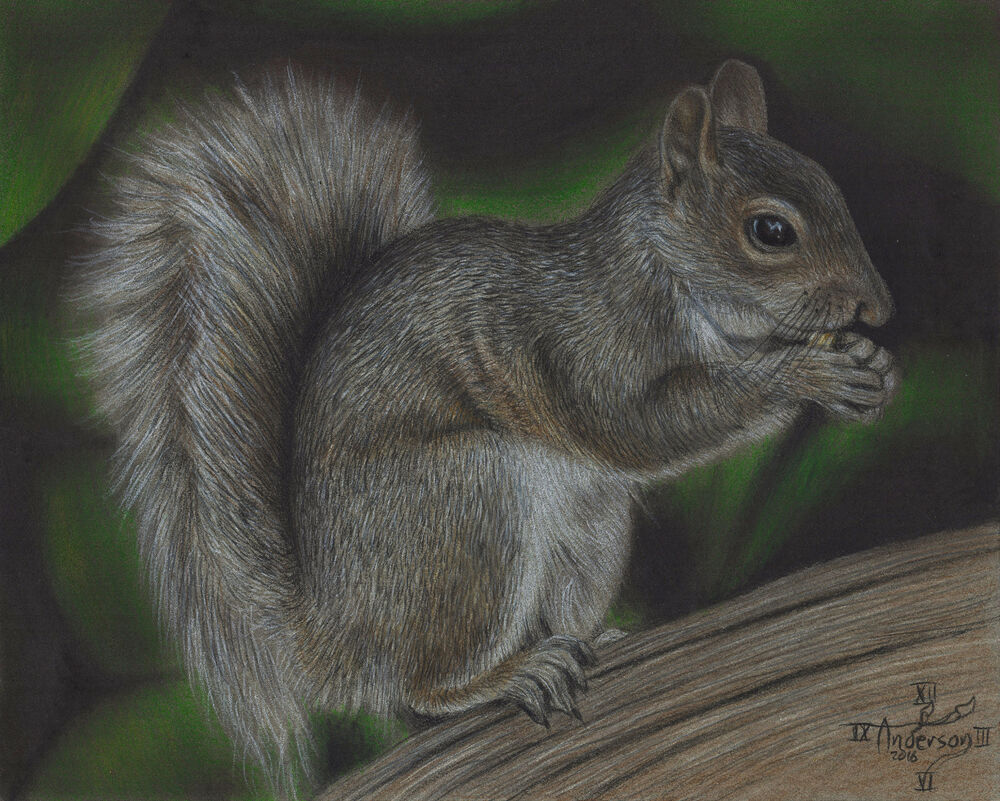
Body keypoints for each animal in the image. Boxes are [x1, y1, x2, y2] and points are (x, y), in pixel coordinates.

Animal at [72, 60, 898, 790]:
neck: (668, 277)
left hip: (590, 525)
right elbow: (646, 424)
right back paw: (511, 672)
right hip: (465, 501)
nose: (879, 305)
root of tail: (337, 636)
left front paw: (869, 365)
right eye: (771, 231)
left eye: (834, 187)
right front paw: (806, 373)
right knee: (419, 686)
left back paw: (598, 637)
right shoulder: (578, 348)